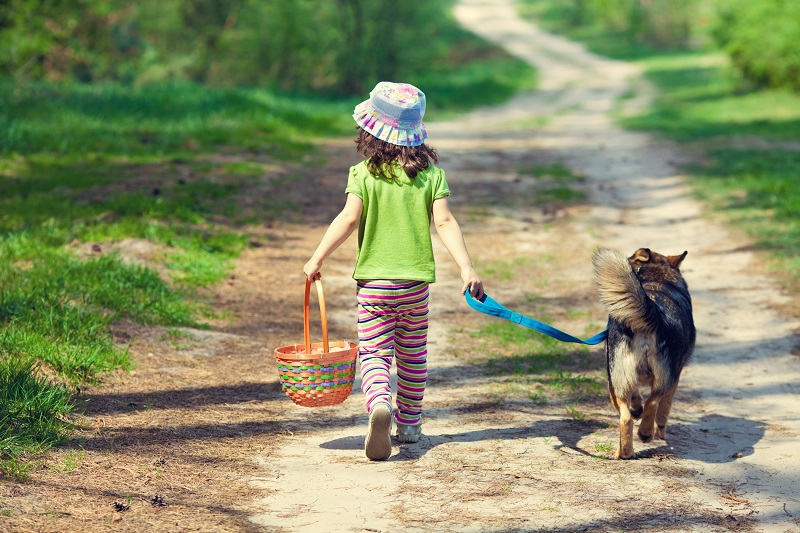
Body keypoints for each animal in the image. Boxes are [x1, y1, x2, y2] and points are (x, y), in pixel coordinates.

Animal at [592, 247, 696, 460]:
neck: (658, 276)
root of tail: (654, 313)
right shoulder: (676, 376)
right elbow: (664, 408)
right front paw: (660, 431)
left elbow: (636, 397)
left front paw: (636, 409)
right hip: (664, 376)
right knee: (654, 401)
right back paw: (646, 433)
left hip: (616, 378)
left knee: (626, 418)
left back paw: (624, 452)